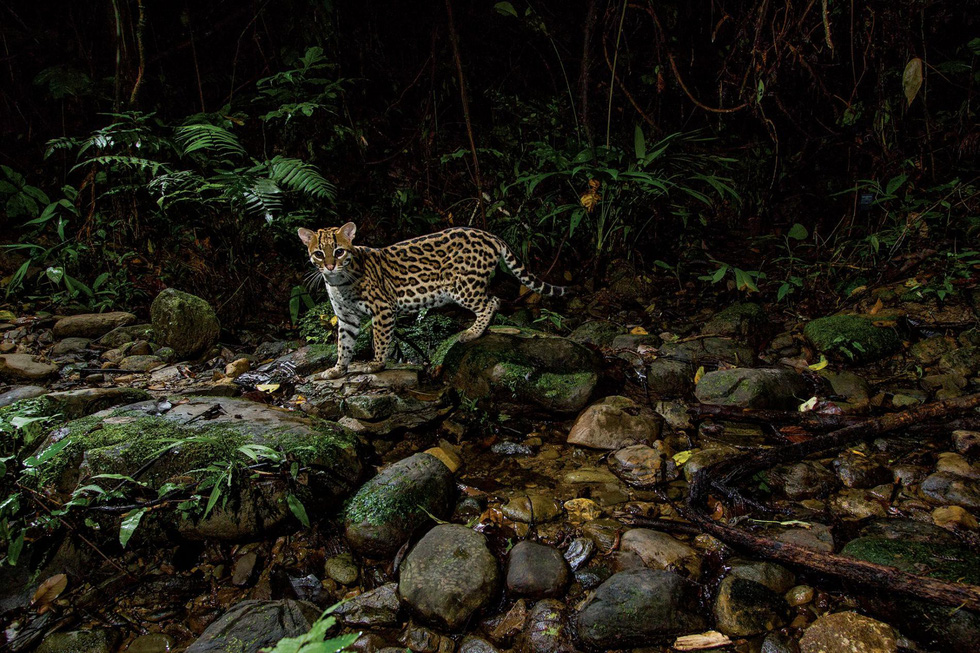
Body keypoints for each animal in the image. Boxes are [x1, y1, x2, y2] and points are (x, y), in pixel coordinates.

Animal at [296, 223, 568, 376]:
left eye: (339, 251)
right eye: (319, 253)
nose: (330, 265)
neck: (338, 282)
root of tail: (488, 234)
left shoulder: (383, 309)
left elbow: (380, 341)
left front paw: (375, 365)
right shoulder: (346, 318)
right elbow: (343, 345)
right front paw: (337, 370)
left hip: (463, 286)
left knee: (492, 302)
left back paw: (473, 332)